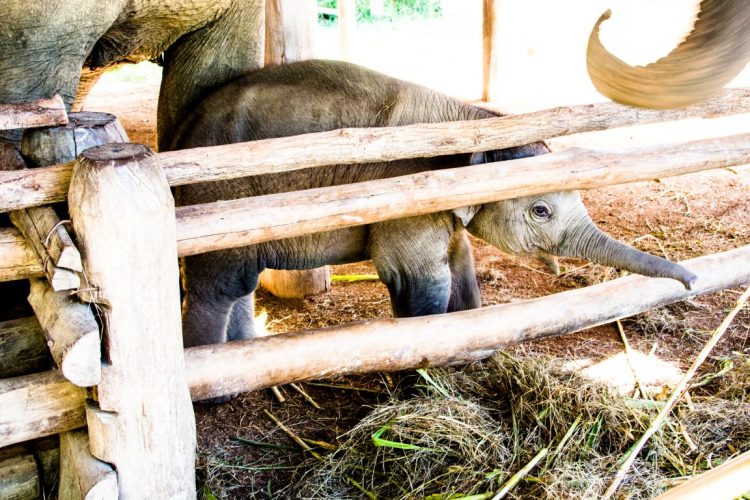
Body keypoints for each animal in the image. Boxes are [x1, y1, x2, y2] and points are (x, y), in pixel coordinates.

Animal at [171, 59, 697, 349]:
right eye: (541, 211)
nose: (693, 281)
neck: (474, 121)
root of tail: (178, 135)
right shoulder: (407, 195)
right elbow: (423, 277)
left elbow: (460, 263)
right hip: (217, 202)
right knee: (219, 285)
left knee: (238, 284)